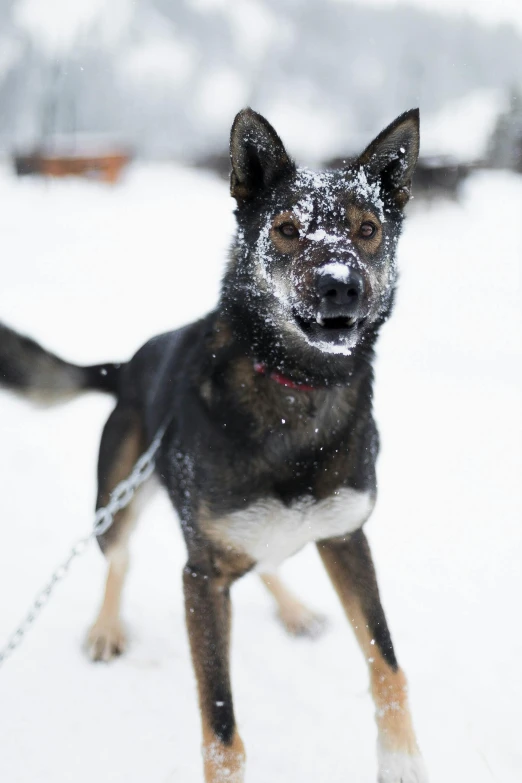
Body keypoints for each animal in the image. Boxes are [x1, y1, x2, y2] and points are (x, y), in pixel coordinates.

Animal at [1, 108, 426, 783]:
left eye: (368, 229)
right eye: (286, 229)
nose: (341, 287)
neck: (296, 389)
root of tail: (127, 365)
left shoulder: (346, 537)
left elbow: (387, 664)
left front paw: (402, 759)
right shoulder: (200, 577)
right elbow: (220, 724)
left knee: (268, 561)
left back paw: (293, 609)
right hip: (117, 501)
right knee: (119, 561)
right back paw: (105, 628)